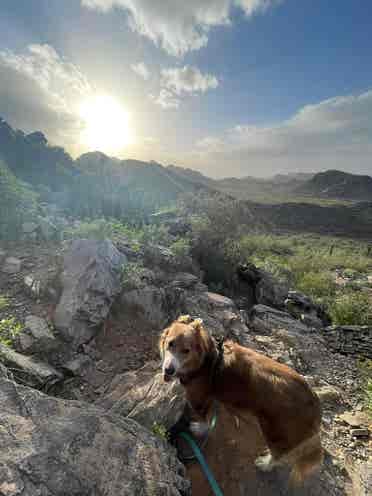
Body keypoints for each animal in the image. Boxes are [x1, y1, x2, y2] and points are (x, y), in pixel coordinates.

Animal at [160, 314, 322, 484]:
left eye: (186, 351)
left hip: (275, 431)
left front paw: (200, 428)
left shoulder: (199, 398)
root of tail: (314, 402)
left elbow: (205, 418)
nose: (168, 370)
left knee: (279, 455)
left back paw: (265, 464)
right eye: (170, 344)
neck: (206, 360)